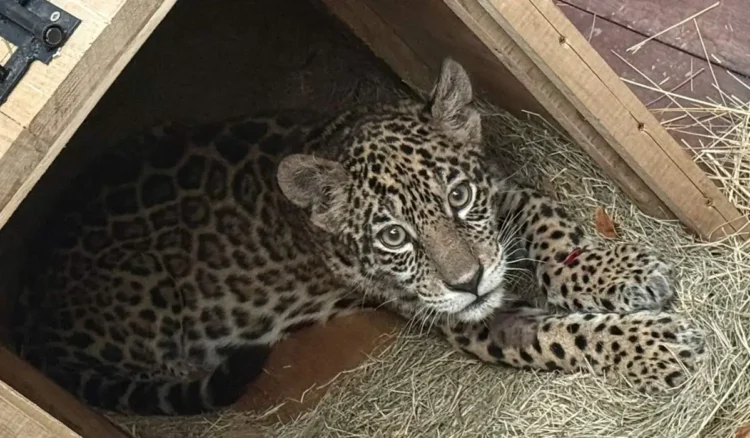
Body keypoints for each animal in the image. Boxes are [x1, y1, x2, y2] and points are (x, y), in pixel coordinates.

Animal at [11, 58, 705, 416]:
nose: (469, 281)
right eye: (393, 236)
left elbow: (547, 225)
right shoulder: (466, 322)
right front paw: (657, 347)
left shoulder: (499, 193)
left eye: (457, 196)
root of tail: (31, 303)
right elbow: (563, 334)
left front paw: (617, 270)